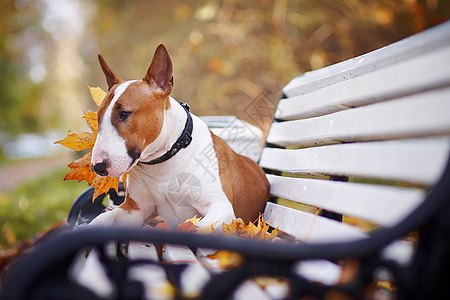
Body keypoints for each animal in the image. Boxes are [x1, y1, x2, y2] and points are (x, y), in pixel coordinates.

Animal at [89, 43, 268, 229]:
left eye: (124, 113)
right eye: (98, 117)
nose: (97, 167)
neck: (164, 161)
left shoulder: (220, 206)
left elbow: (196, 227)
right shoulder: (135, 209)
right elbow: (101, 221)